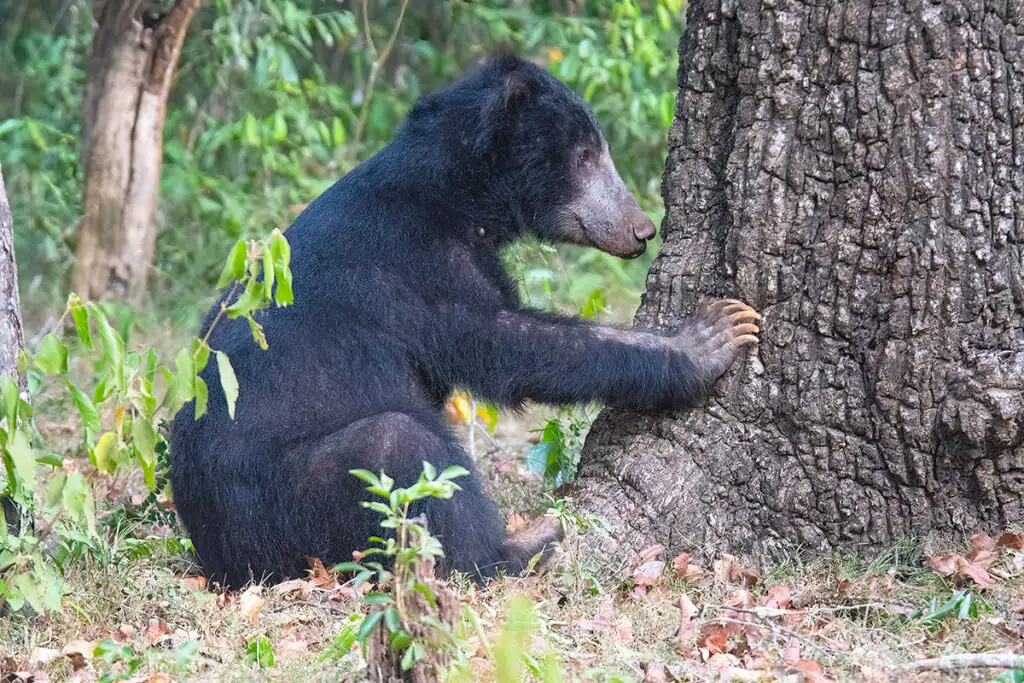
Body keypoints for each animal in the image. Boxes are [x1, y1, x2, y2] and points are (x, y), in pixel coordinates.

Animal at [169, 55, 760, 589]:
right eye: (586, 156)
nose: (641, 230)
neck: (457, 194)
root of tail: (220, 561)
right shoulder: (419, 268)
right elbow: (507, 342)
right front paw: (713, 334)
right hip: (288, 501)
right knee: (402, 451)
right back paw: (526, 544)